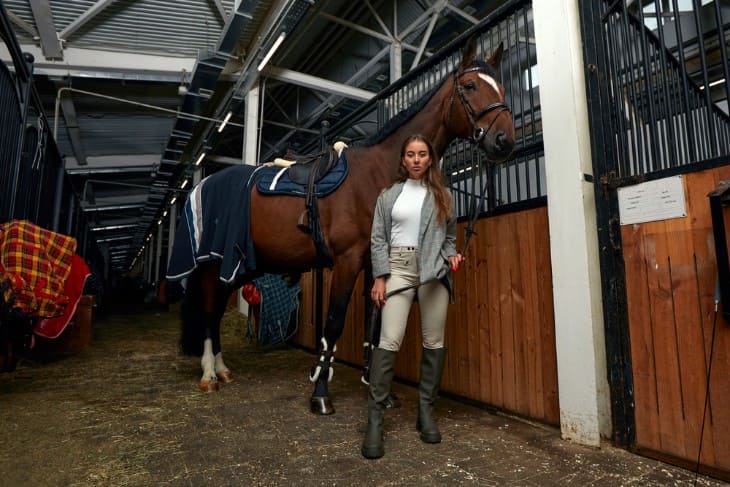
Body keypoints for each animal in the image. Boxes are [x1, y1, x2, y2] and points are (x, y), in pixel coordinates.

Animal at [169, 36, 512, 416]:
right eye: (471, 86)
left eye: (501, 87)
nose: (504, 141)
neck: (378, 173)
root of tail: (200, 186)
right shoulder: (347, 261)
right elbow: (334, 323)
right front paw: (320, 393)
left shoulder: (375, 263)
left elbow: (375, 324)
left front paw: (379, 391)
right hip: (212, 266)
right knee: (209, 312)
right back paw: (209, 375)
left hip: (234, 268)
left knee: (214, 313)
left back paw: (222, 369)